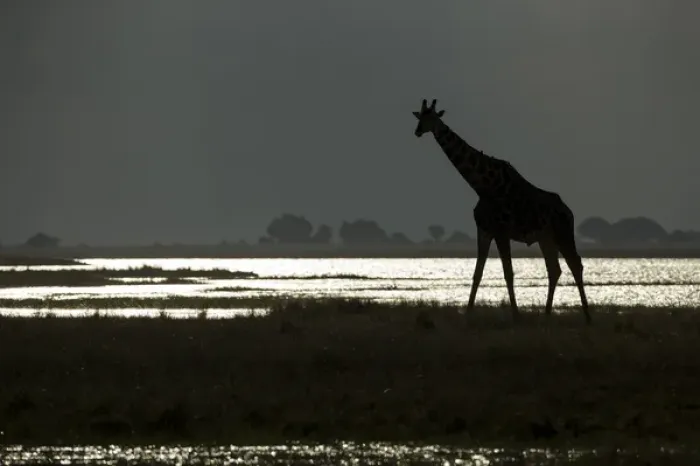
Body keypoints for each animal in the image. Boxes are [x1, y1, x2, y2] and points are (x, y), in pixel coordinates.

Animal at [412, 99, 590, 324]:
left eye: (433, 117)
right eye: (420, 117)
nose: (418, 131)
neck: (482, 186)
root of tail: (569, 212)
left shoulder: (501, 231)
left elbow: (508, 273)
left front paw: (516, 315)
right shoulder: (484, 230)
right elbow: (477, 273)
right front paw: (468, 312)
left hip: (563, 233)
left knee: (576, 264)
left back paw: (587, 316)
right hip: (545, 238)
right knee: (554, 269)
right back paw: (547, 313)